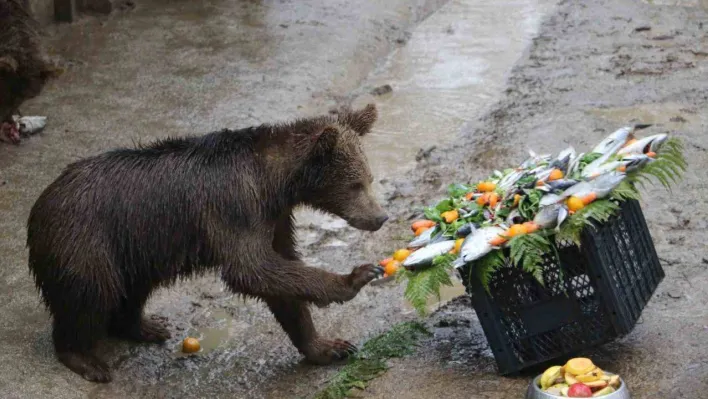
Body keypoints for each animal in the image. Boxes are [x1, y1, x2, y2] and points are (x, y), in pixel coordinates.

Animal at [27, 104, 390, 382]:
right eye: (356, 184)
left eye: (369, 179)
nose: (380, 217)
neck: (275, 182)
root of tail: (40, 204)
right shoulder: (235, 207)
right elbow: (252, 269)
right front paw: (356, 277)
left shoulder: (274, 218)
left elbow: (282, 277)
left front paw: (329, 346)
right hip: (85, 240)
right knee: (91, 292)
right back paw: (85, 358)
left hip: (136, 246)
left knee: (133, 287)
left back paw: (147, 325)